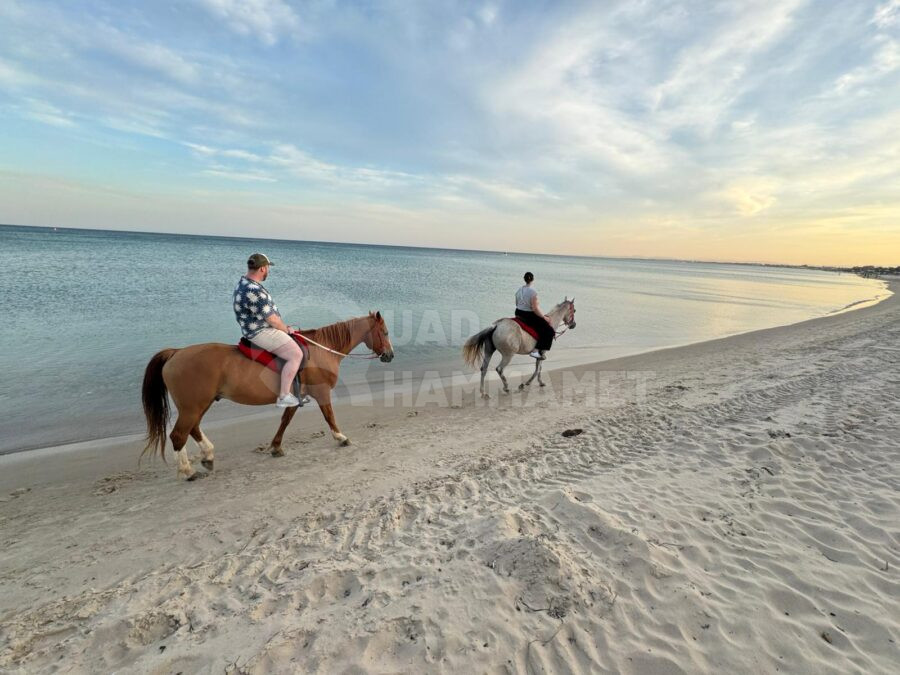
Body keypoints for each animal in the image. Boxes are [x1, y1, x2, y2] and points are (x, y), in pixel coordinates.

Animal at [141, 311, 394, 481]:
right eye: (385, 332)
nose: (390, 355)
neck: (320, 350)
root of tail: (176, 353)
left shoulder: (296, 395)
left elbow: (285, 420)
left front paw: (276, 447)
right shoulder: (321, 392)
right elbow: (329, 416)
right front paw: (341, 438)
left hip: (199, 404)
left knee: (192, 429)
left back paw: (208, 456)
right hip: (193, 406)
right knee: (179, 435)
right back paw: (188, 471)